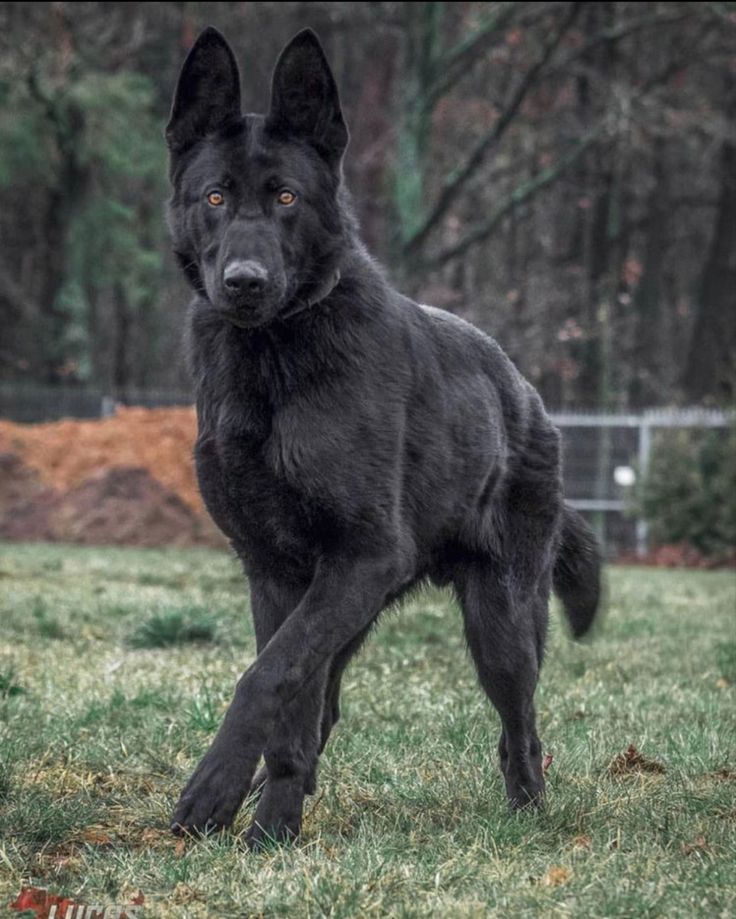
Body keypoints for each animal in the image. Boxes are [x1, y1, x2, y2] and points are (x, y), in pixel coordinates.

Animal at [165, 27, 600, 848]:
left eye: (286, 197)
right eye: (215, 197)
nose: (243, 281)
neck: (275, 356)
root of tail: (524, 393)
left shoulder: (359, 558)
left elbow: (265, 677)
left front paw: (221, 795)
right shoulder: (278, 574)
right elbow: (288, 694)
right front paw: (271, 823)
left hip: (497, 621)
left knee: (520, 725)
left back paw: (529, 812)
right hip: (352, 607)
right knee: (324, 702)